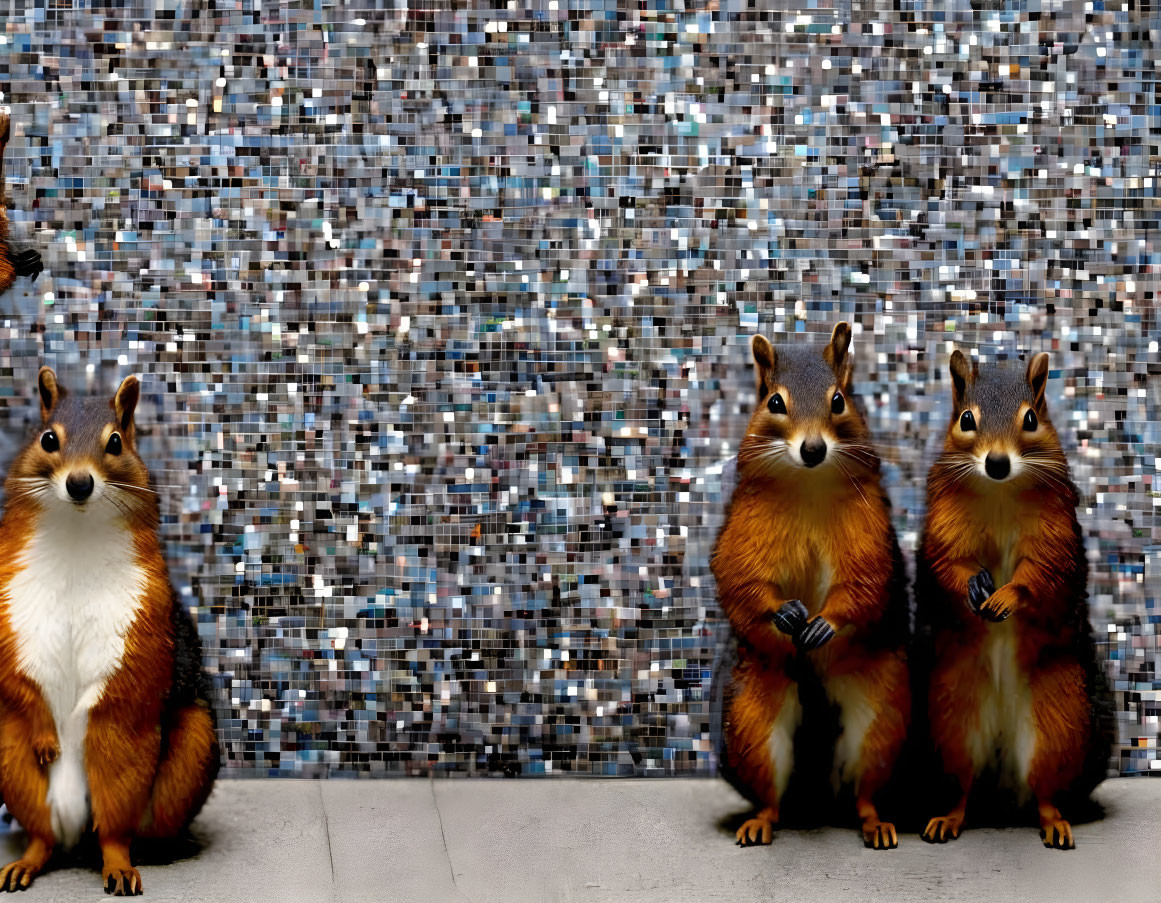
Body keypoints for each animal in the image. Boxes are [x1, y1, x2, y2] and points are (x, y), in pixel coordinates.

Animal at [710, 327, 910, 849]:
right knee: (771, 794)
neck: (809, 485)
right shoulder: (745, 529)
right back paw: (761, 821)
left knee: (865, 788)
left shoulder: (869, 533)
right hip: (751, 719)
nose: (813, 449)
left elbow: (864, 583)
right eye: (774, 402)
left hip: (881, 717)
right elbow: (740, 579)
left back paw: (875, 822)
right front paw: (782, 614)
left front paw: (825, 624)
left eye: (839, 400)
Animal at [910, 350, 1109, 844]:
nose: (997, 463)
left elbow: (1041, 573)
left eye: (1032, 419)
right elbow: (949, 562)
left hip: (1060, 717)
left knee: (1045, 789)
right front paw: (974, 586)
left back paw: (1054, 822)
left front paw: (1006, 597)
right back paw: (948, 818)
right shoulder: (945, 523)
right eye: (966, 419)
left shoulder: (1054, 531)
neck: (999, 492)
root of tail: (1000, 790)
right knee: (961, 784)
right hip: (952, 719)